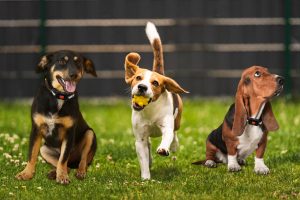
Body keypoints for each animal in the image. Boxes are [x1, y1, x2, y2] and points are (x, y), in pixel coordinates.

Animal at [15, 50, 97, 184]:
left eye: (78, 62)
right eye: (61, 61)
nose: (73, 74)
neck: (59, 96)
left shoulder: (69, 133)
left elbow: (63, 159)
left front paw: (62, 177)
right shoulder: (36, 130)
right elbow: (32, 155)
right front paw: (26, 173)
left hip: (90, 134)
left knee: (81, 161)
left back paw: (79, 172)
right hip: (44, 150)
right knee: (66, 166)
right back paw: (54, 173)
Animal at [123, 21, 188, 180]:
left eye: (155, 83)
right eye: (138, 78)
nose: (142, 87)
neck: (150, 110)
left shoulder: (167, 127)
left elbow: (167, 136)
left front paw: (164, 148)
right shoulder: (140, 139)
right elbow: (143, 158)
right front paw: (146, 178)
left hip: (177, 120)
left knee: (175, 134)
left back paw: (174, 146)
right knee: (149, 144)